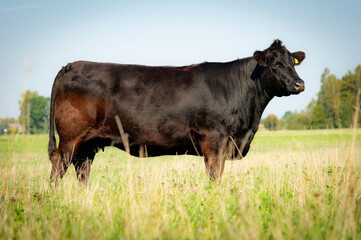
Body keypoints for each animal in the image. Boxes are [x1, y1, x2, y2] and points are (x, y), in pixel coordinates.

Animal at [48, 40, 304, 185]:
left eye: (292, 62)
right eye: (274, 64)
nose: (299, 84)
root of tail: (73, 65)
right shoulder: (214, 140)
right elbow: (214, 176)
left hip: (88, 144)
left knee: (82, 170)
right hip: (71, 137)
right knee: (59, 165)